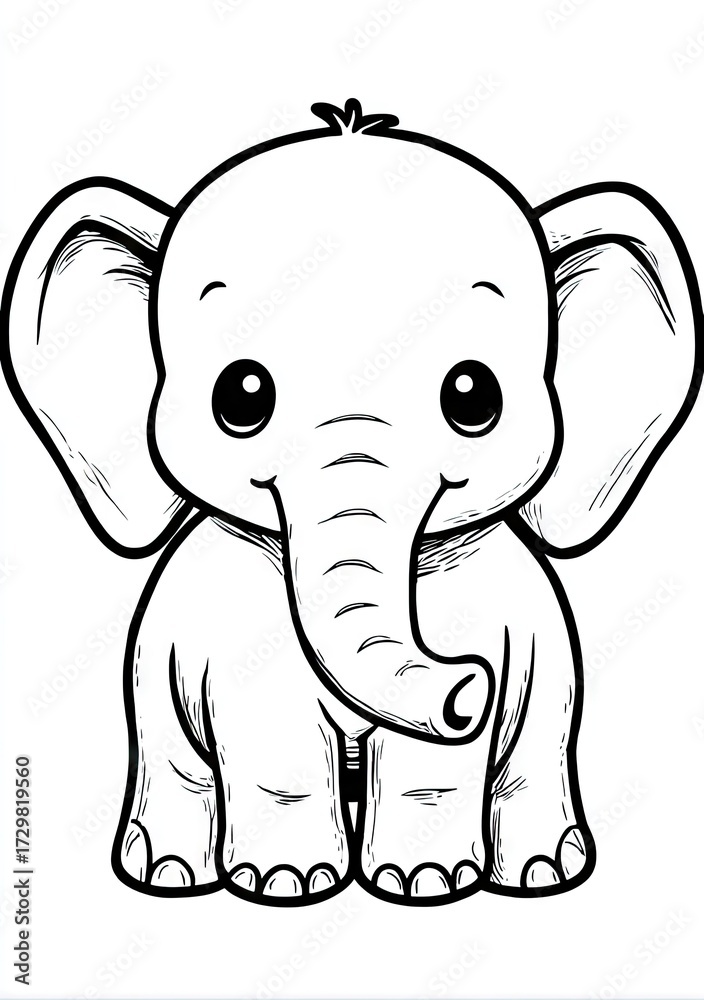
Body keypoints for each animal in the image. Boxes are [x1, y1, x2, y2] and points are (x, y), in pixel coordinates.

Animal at [2, 98, 701, 907]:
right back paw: (167, 873)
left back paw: (541, 873)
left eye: (473, 395)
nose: (469, 684)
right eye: (241, 395)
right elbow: (273, 726)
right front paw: (286, 886)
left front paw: (425, 885)